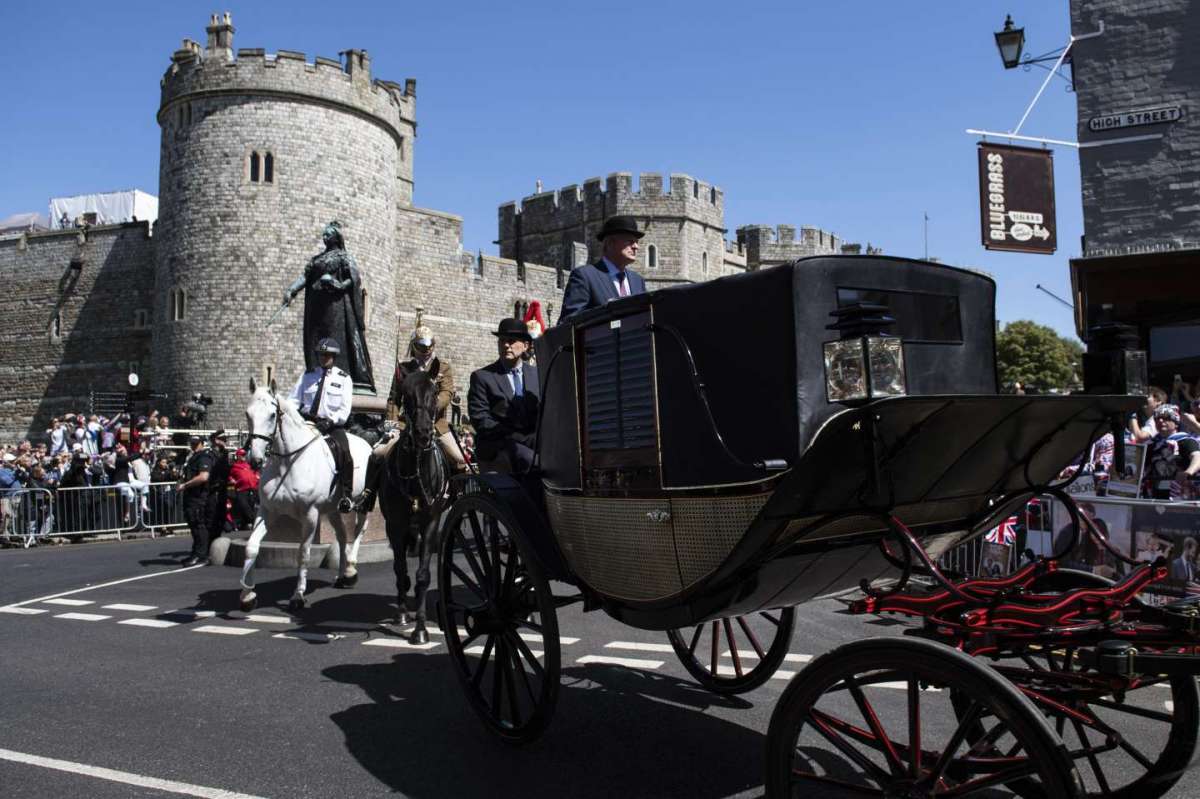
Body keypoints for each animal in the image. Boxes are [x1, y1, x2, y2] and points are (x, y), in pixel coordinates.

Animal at [238, 379, 369, 609]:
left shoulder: (310, 514)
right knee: (342, 535)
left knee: (360, 529)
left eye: (272, 415)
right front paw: (248, 594)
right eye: (248, 414)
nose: (255, 459)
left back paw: (351, 569)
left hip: (361, 501)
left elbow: (303, 554)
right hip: (333, 509)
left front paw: (298, 595)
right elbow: (252, 547)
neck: (287, 462)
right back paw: (342, 575)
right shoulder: (266, 511)